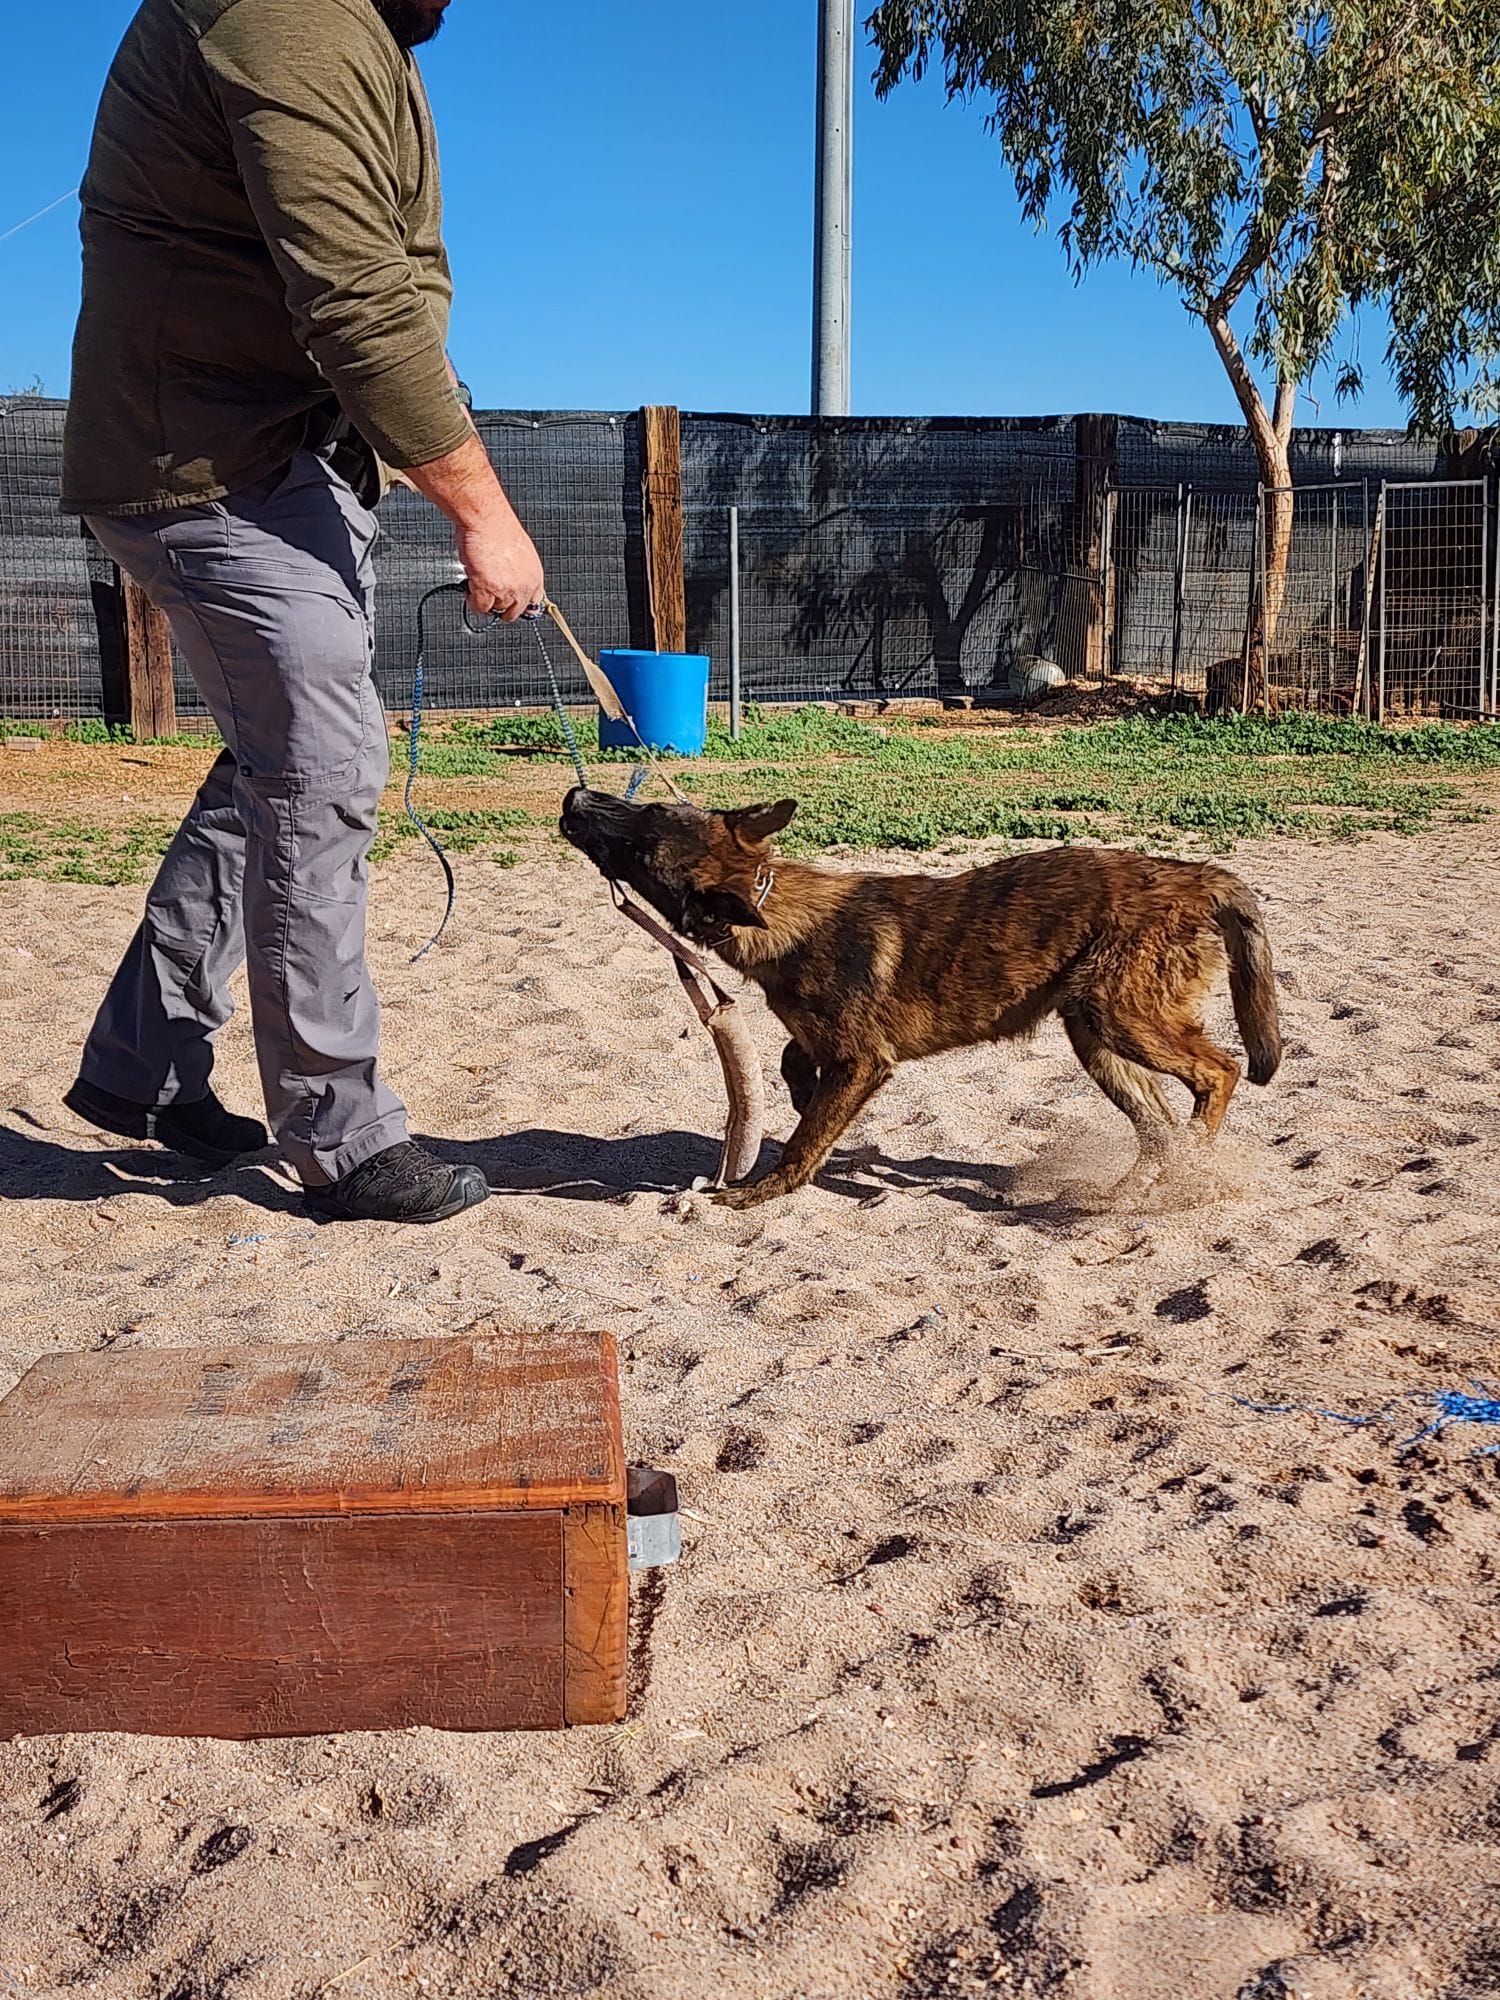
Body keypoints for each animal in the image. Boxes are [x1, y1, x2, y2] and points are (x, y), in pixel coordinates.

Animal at [560, 788, 1288, 1208]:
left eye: (646, 826)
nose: (574, 794)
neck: (777, 906)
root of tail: (1197, 875)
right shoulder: (833, 1047)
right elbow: (797, 1066)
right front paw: (807, 1102)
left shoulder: (863, 1061)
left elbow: (803, 1140)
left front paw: (759, 1192)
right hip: (1095, 1033)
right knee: (1157, 1126)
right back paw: (1133, 1190)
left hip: (1122, 1016)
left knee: (1219, 1072)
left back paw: (1193, 1165)